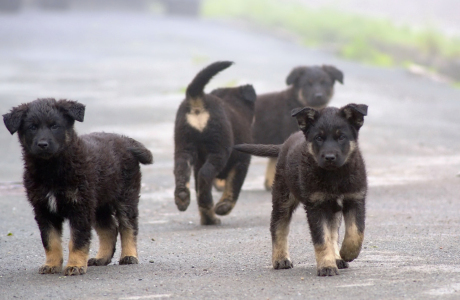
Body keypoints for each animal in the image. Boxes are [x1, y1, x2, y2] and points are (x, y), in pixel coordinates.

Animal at [174, 61, 256, 225]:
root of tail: (198, 99)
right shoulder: (242, 162)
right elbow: (233, 187)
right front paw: (223, 207)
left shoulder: (198, 163)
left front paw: (208, 218)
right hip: (219, 150)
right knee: (205, 175)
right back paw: (209, 205)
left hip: (183, 146)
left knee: (182, 170)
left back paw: (183, 198)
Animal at [234, 103, 366, 276]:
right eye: (319, 138)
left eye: (341, 137)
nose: (329, 157)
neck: (334, 176)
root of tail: (284, 144)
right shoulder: (315, 206)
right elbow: (322, 239)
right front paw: (327, 266)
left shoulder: (355, 199)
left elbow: (355, 232)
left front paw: (346, 253)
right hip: (283, 198)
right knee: (278, 227)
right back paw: (281, 259)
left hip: (331, 209)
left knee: (333, 232)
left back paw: (337, 257)